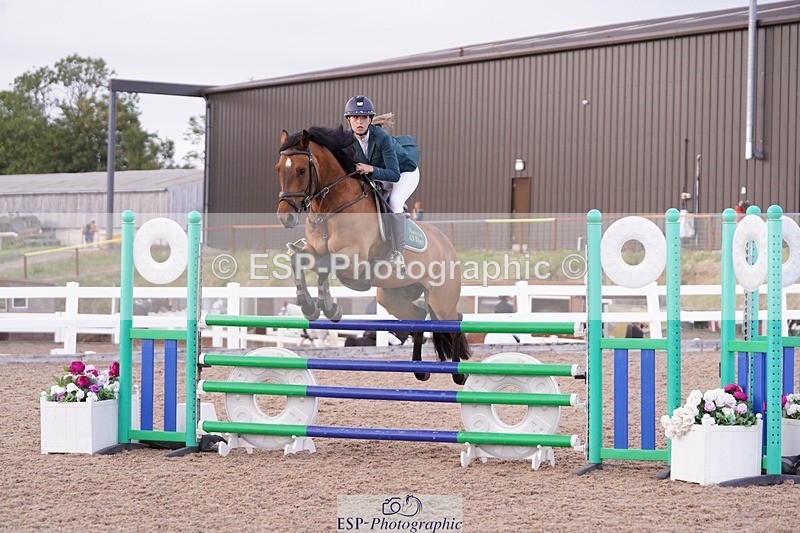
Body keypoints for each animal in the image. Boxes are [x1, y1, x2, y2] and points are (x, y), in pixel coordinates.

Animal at [274, 126, 471, 384]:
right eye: (278, 169)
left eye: (301, 170)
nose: (285, 217)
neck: (332, 209)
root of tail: (448, 244)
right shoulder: (314, 250)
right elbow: (297, 258)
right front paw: (311, 305)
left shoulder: (353, 259)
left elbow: (326, 265)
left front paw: (327, 307)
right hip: (391, 296)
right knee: (419, 316)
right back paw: (420, 370)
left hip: (441, 298)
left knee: (454, 320)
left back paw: (459, 374)